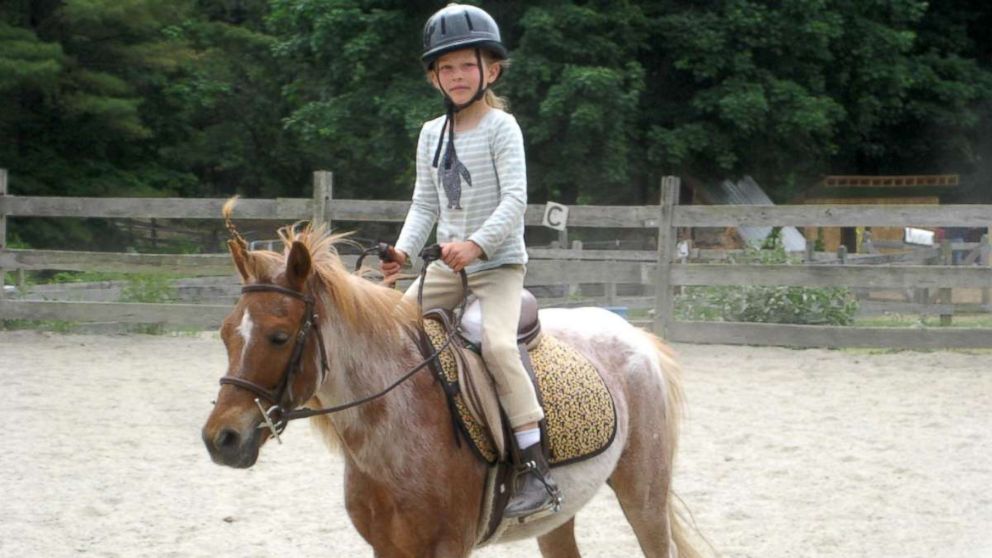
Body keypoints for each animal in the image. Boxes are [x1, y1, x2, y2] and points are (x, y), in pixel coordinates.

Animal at [202, 215, 696, 558]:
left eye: (279, 336)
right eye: (225, 334)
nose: (220, 439)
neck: (394, 422)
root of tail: (637, 337)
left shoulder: (447, 546)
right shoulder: (387, 548)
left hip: (644, 497)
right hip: (561, 518)